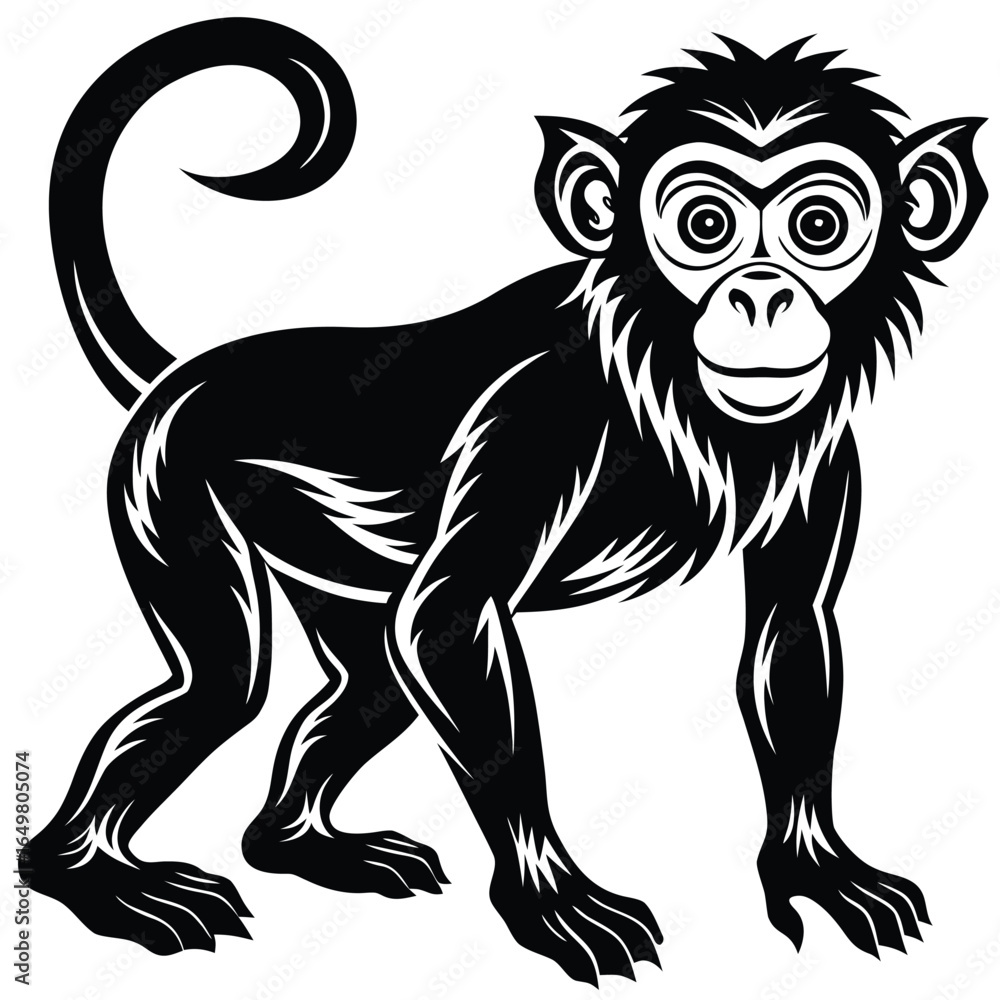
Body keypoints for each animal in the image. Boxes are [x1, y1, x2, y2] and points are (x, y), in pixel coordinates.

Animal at [20, 19, 987, 986]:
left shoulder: (827, 457)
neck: (667, 382)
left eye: (818, 226)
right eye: (705, 225)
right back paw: (88, 875)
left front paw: (813, 866)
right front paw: (551, 896)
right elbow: (446, 617)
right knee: (224, 685)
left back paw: (298, 843)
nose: (761, 295)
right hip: (166, 474)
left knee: (372, 687)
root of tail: (188, 374)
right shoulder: (539, 416)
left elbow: (792, 628)